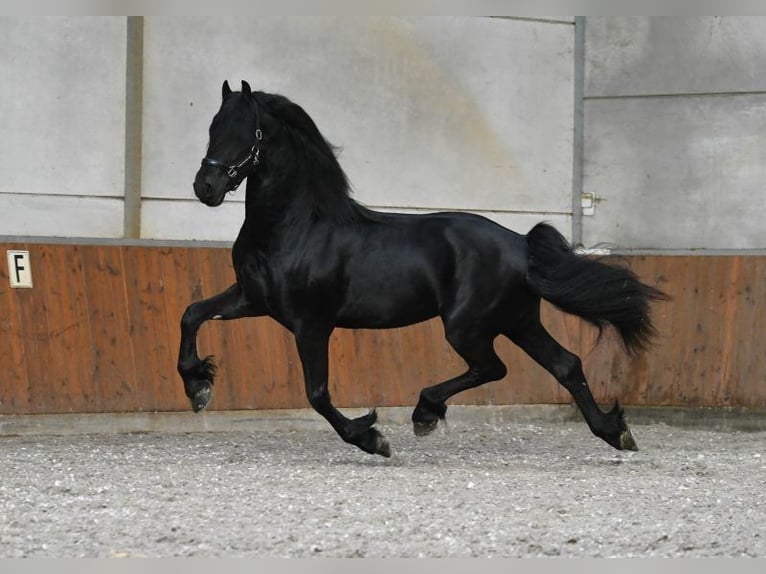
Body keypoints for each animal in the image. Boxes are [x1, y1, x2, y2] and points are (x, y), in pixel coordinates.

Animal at [178, 80, 667, 458]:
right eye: (213, 127)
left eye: (252, 133)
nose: (206, 187)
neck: (296, 227)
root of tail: (520, 244)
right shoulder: (252, 298)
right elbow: (192, 314)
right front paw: (198, 387)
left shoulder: (311, 323)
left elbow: (316, 394)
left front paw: (372, 439)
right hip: (517, 320)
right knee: (565, 364)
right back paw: (615, 433)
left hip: (468, 325)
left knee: (492, 368)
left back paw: (425, 412)